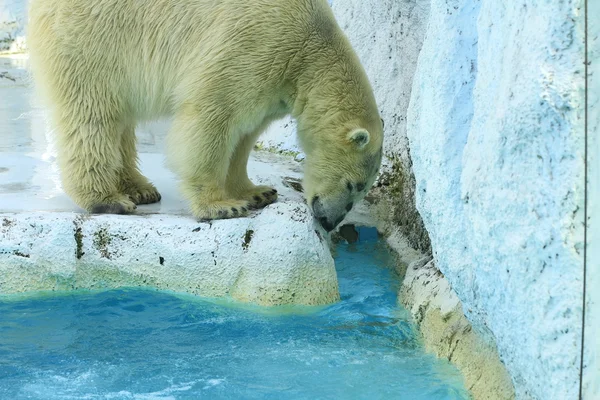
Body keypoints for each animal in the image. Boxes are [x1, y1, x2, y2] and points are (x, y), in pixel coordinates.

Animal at [28, 0, 382, 230]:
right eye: (353, 185)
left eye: (362, 190)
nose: (330, 221)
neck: (310, 47)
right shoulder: (253, 47)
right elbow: (210, 118)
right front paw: (222, 206)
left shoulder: (272, 84)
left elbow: (244, 137)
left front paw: (257, 192)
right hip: (94, 38)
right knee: (94, 114)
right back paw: (107, 199)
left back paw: (140, 188)